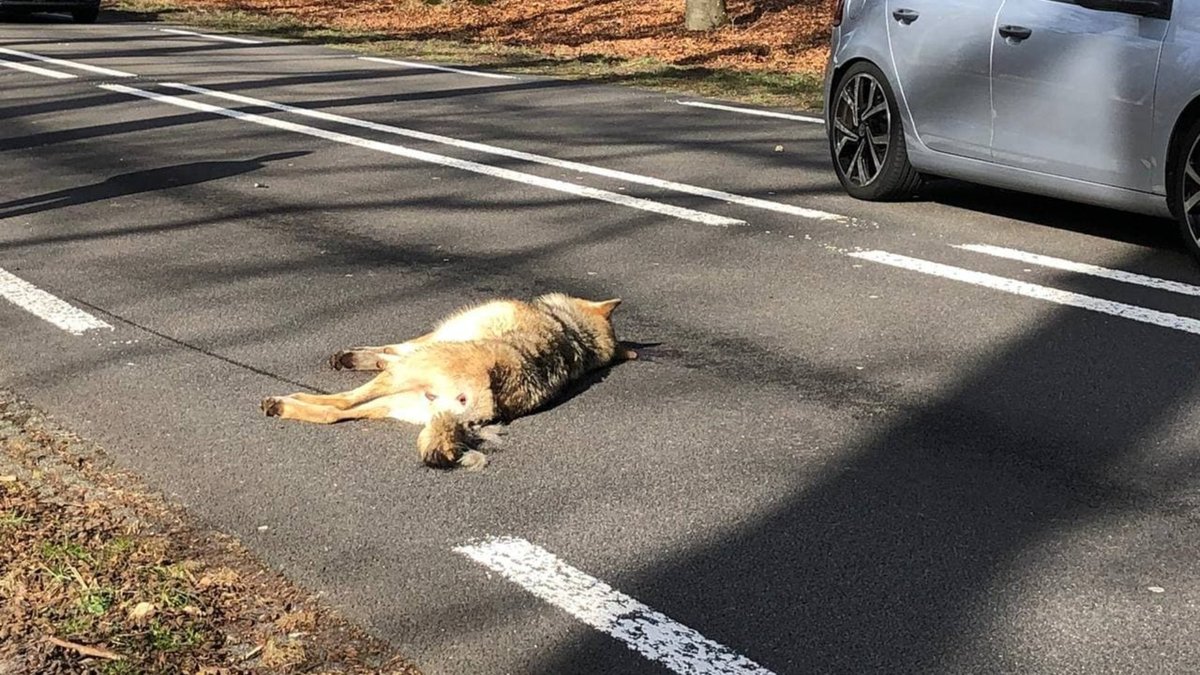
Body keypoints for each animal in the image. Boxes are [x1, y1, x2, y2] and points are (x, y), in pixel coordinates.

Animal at [260, 293, 635, 470]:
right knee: (335, 414)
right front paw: (354, 356)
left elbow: (395, 347)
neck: (571, 330)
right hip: (395, 401)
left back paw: (282, 401)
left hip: (396, 381)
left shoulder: (437, 336)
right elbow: (389, 349)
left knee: (339, 402)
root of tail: (476, 406)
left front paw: (353, 356)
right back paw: (282, 407)